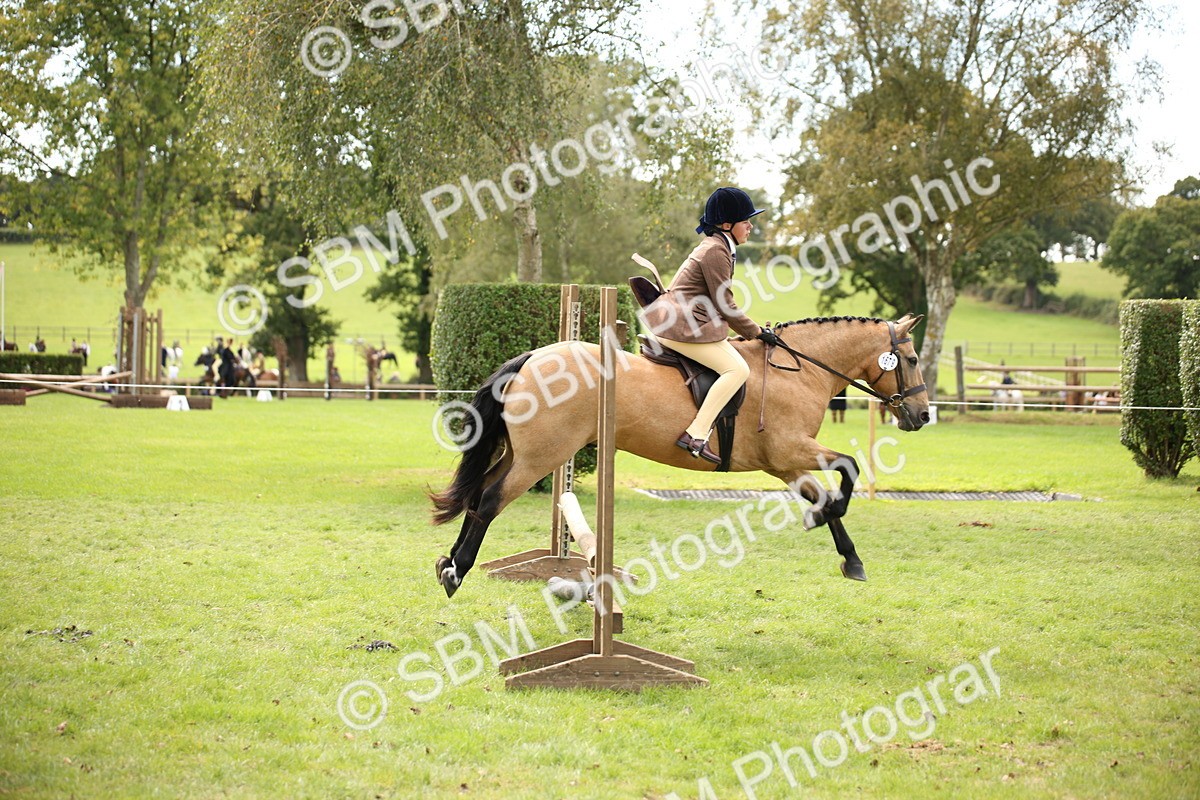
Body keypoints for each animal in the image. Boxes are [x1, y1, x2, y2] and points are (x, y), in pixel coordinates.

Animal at [430, 314, 930, 598]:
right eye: (911, 359)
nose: (923, 415)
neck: (801, 370)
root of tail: (534, 357)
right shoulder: (792, 448)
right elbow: (848, 468)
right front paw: (822, 522)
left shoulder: (784, 463)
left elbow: (826, 497)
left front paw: (851, 559)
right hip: (542, 456)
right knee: (490, 500)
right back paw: (457, 573)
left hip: (521, 452)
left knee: (477, 495)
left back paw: (446, 562)